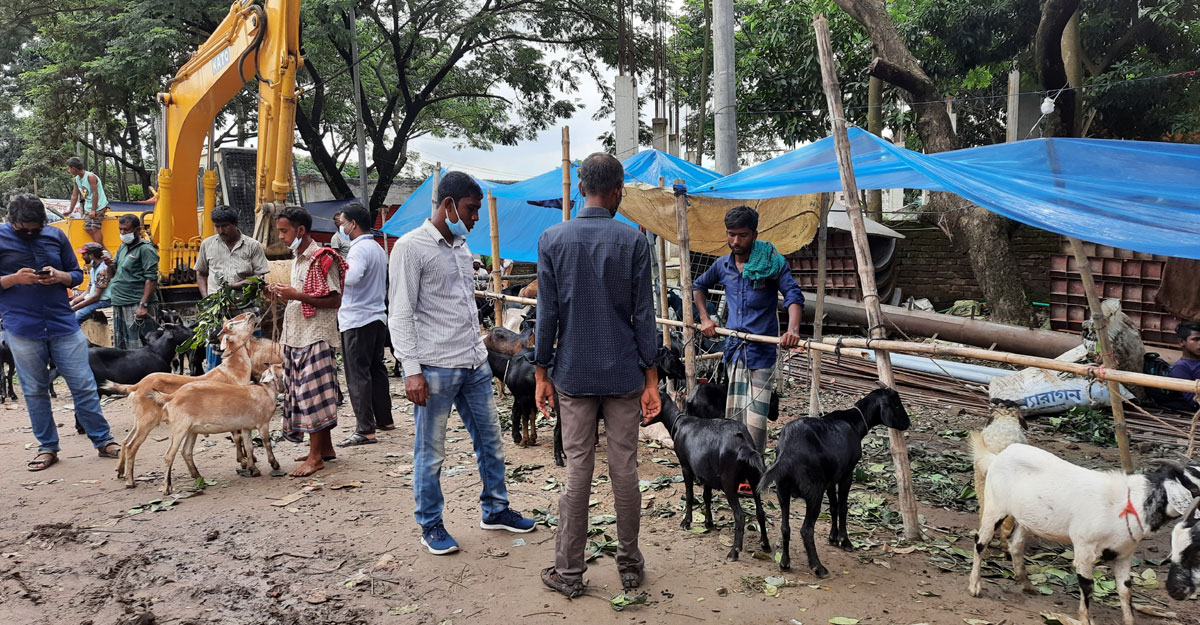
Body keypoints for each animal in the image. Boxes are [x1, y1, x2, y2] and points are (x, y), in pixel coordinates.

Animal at [148, 364, 285, 495]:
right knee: (169, 455)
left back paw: (198, 476)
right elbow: (267, 443)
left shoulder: (246, 427)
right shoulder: (263, 423)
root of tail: (172, 396)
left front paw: (254, 470)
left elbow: (249, 447)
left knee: (186, 451)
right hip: (180, 427)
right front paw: (275, 464)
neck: (265, 392)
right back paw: (167, 487)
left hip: (191, 430)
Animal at [642, 396, 770, 560]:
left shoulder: (686, 467)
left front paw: (686, 522)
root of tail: (745, 445)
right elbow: (706, 496)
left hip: (728, 482)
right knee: (760, 511)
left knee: (739, 516)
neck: (679, 422)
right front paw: (708, 522)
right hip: (754, 478)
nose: (641, 418)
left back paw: (734, 552)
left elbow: (689, 495)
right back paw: (765, 544)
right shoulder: (707, 473)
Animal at [758, 387, 910, 577]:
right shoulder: (846, 474)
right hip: (814, 492)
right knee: (806, 530)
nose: (907, 423)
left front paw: (832, 537)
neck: (854, 422)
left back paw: (785, 563)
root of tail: (787, 452)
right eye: (896, 404)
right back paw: (818, 567)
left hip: (782, 491)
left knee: (785, 528)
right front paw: (845, 541)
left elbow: (833, 507)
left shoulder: (830, 479)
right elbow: (843, 507)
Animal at [968, 443, 1200, 625]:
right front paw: (1085, 619)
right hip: (994, 506)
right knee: (980, 542)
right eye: (1194, 487)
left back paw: (1026, 584)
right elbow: (1087, 585)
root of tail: (998, 456)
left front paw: (1129, 621)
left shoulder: (1123, 554)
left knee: (1016, 544)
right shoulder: (1084, 548)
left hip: (1026, 519)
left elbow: (1125, 589)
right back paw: (975, 587)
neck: (1129, 503)